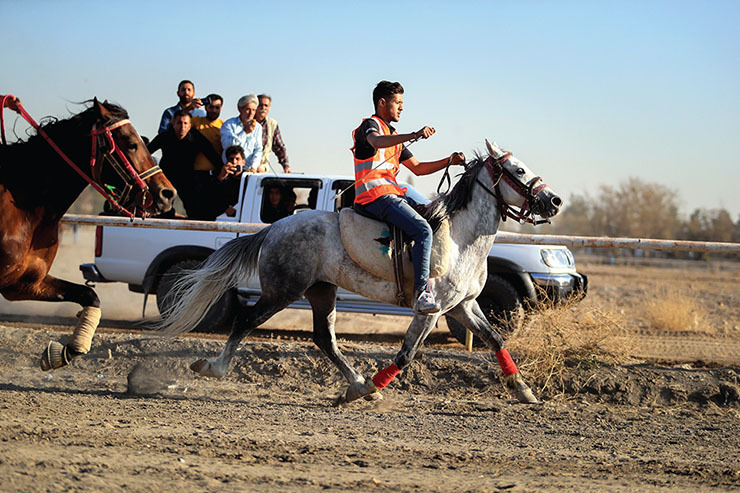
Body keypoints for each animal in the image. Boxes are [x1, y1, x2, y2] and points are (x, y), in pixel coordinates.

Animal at [0, 99, 176, 368]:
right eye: (132, 144)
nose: (167, 194)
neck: (24, 207)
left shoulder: (24, 282)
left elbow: (89, 294)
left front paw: (64, 351)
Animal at [156, 139, 560, 404]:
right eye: (518, 170)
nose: (553, 200)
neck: (460, 239)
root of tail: (274, 228)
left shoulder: (464, 306)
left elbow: (496, 339)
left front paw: (525, 391)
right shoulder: (430, 311)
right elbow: (406, 355)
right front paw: (370, 389)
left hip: (321, 290)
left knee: (324, 338)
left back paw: (355, 379)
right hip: (281, 291)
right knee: (244, 322)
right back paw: (214, 368)